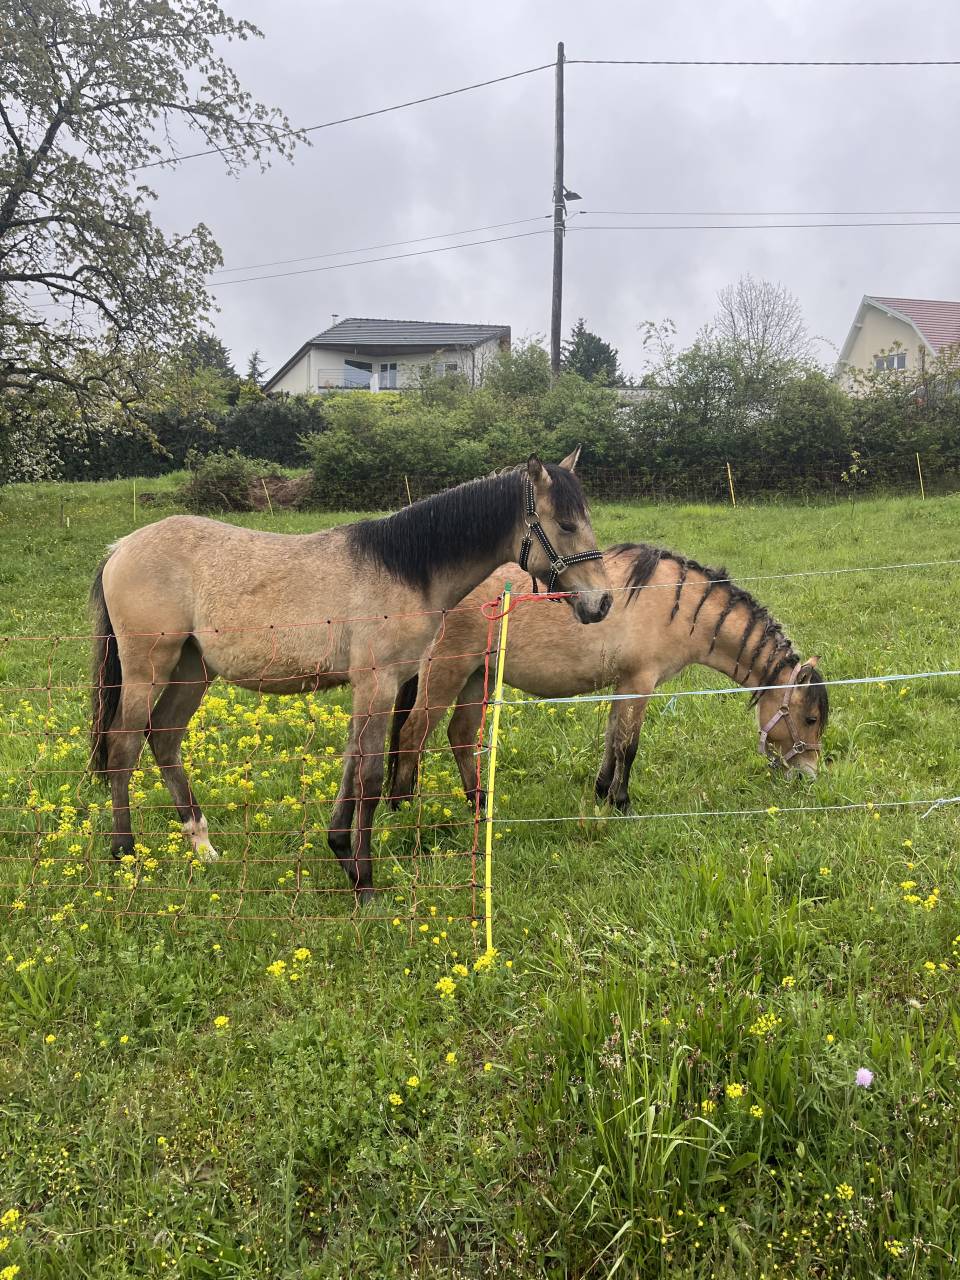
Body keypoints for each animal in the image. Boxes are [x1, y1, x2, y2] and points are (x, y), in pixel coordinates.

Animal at [89, 452, 613, 902]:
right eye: (566, 524)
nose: (603, 602)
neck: (405, 569)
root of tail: (120, 548)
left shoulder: (372, 688)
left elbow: (354, 766)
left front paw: (342, 852)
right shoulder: (377, 684)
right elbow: (371, 774)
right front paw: (364, 881)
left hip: (191, 670)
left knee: (164, 739)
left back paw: (202, 845)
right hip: (148, 668)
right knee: (124, 745)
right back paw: (124, 853)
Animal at [387, 542, 829, 814]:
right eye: (809, 718)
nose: (808, 775)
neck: (678, 605)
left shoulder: (623, 685)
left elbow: (612, 738)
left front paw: (602, 792)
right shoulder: (640, 684)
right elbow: (628, 746)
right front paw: (621, 802)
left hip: (475, 675)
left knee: (459, 736)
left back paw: (477, 803)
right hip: (447, 673)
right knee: (412, 735)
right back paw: (401, 807)